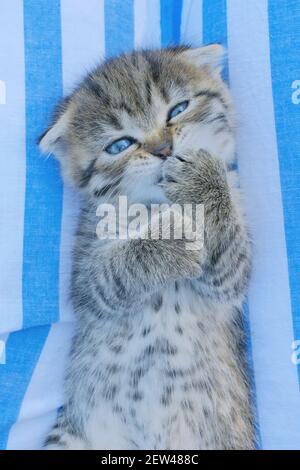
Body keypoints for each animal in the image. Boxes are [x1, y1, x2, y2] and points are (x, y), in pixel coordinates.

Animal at [39, 46, 254, 450]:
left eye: (178, 108)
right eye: (120, 145)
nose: (164, 149)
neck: (158, 203)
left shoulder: (232, 276)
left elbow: (229, 263)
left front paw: (204, 181)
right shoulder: (88, 278)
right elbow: (114, 273)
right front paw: (172, 236)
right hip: (70, 436)